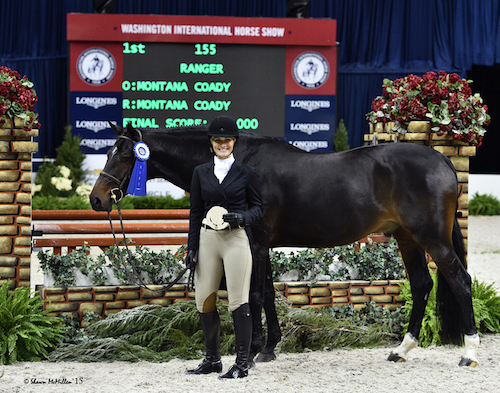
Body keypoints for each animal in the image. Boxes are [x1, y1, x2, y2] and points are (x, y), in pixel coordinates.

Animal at [90, 121, 480, 364]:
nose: (97, 199)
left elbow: (254, 294)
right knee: (423, 283)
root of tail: (443, 161)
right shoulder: (257, 242)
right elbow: (266, 293)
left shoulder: (256, 241)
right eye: (109, 153)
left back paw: (469, 353)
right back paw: (402, 350)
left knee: (460, 281)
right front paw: (269, 347)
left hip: (431, 238)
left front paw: (253, 351)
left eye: (124, 156)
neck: (238, 164)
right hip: (407, 238)